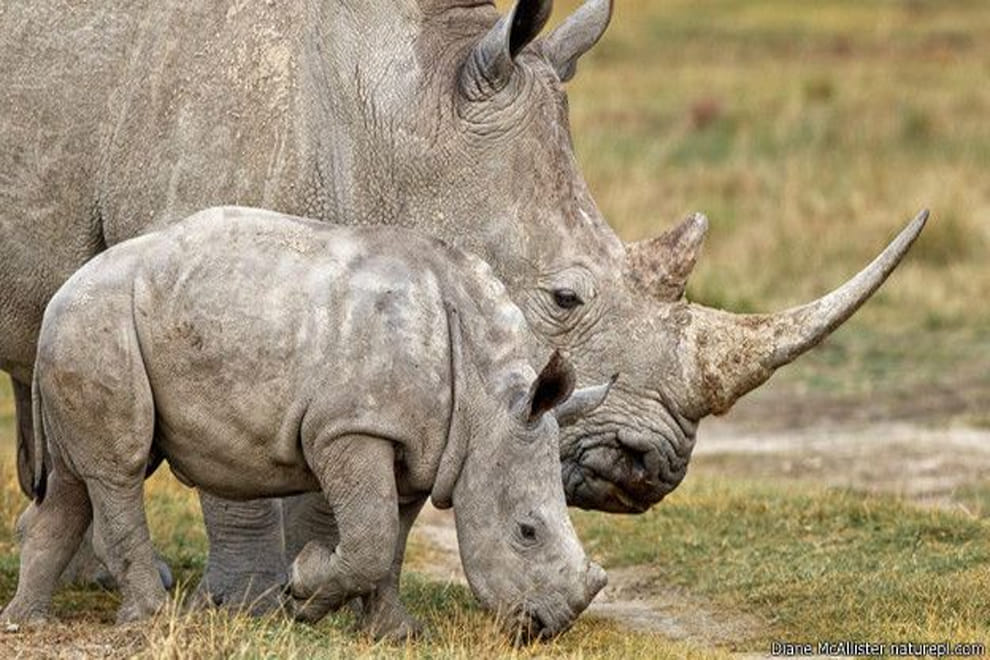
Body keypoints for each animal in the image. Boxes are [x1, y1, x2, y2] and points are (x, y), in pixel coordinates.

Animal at [2, 207, 612, 639]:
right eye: (527, 531)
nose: (548, 627)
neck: (487, 401)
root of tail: (58, 296)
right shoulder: (350, 426)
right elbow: (371, 537)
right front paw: (303, 594)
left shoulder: (425, 444)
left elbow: (393, 541)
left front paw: (395, 633)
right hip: (98, 323)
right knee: (120, 469)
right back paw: (151, 619)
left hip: (87, 327)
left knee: (74, 481)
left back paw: (27, 621)